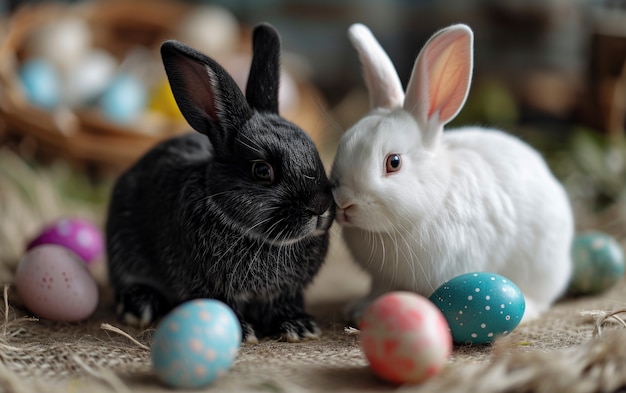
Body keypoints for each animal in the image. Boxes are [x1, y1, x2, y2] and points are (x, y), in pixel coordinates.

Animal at [105, 23, 334, 342]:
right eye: (262, 170)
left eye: (313, 150)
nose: (320, 207)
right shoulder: (207, 286)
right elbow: (223, 305)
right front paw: (243, 331)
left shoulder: (284, 293)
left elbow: (281, 305)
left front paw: (300, 327)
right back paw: (140, 307)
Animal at [330, 23, 572, 320]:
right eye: (342, 146)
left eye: (393, 162)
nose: (344, 203)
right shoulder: (382, 279)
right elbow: (379, 291)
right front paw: (361, 309)